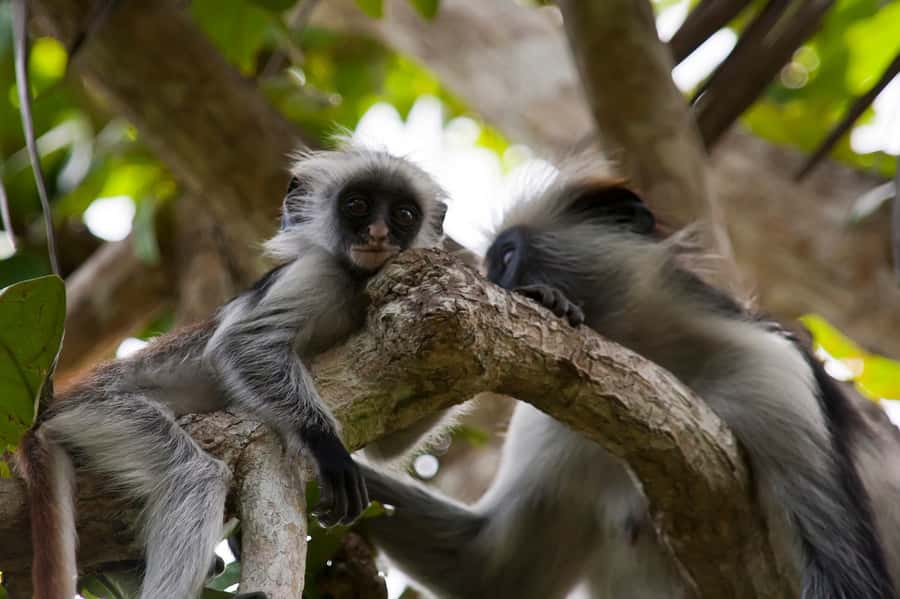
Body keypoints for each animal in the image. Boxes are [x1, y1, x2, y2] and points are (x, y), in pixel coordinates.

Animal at [16, 145, 448, 599]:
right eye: (357, 205)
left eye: (404, 214)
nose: (378, 234)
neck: (356, 281)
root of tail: (47, 412)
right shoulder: (319, 273)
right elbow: (239, 344)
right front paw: (325, 444)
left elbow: (390, 446)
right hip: (99, 412)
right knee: (195, 474)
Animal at [356, 165, 900, 599]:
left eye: (505, 259)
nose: (492, 285)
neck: (656, 359)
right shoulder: (551, 421)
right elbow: (493, 571)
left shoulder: (776, 377)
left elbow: (845, 580)